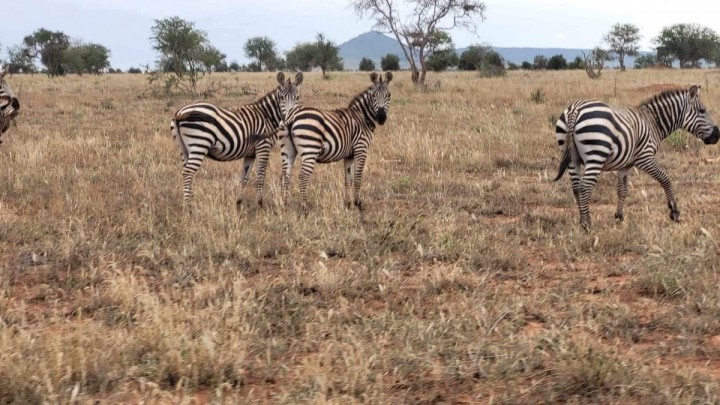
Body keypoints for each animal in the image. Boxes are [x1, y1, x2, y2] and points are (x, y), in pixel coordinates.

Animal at [170, 70, 302, 207]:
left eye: (297, 98)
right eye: (281, 97)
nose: (289, 119)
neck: (266, 117)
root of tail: (180, 113)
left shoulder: (251, 154)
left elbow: (244, 178)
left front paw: (238, 202)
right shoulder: (263, 147)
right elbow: (260, 177)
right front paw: (260, 204)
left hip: (184, 149)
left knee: (185, 172)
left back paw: (189, 201)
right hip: (199, 144)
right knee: (187, 173)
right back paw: (188, 207)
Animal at [280, 72, 394, 211]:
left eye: (388, 95)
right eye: (373, 96)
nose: (381, 117)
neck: (362, 118)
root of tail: (292, 115)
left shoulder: (349, 155)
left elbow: (348, 179)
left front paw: (347, 203)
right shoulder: (361, 149)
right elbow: (357, 177)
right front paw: (358, 203)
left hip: (288, 150)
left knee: (285, 176)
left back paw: (285, 206)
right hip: (310, 150)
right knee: (302, 177)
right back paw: (305, 207)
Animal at [556, 84, 716, 230]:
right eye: (702, 110)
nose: (717, 135)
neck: (653, 123)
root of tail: (575, 109)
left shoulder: (624, 165)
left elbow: (622, 190)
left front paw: (619, 217)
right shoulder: (645, 158)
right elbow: (665, 180)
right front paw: (674, 212)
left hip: (572, 158)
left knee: (576, 187)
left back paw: (581, 220)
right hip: (596, 155)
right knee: (585, 187)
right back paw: (587, 225)